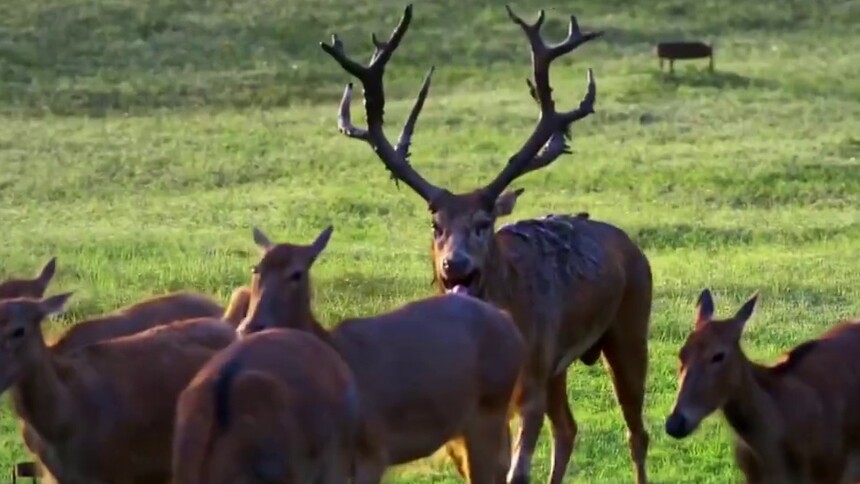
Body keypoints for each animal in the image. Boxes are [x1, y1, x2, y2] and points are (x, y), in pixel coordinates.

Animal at [235, 225, 527, 484]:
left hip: (490, 409)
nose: (249, 326)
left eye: (296, 273)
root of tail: (510, 324)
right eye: (256, 269)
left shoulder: (374, 451)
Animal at [320, 4, 652, 483]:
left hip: (629, 325)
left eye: (484, 223)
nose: (454, 266)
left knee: (636, 432)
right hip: (558, 366)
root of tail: (629, 244)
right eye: (435, 224)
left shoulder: (529, 380)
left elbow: (517, 470)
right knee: (568, 429)